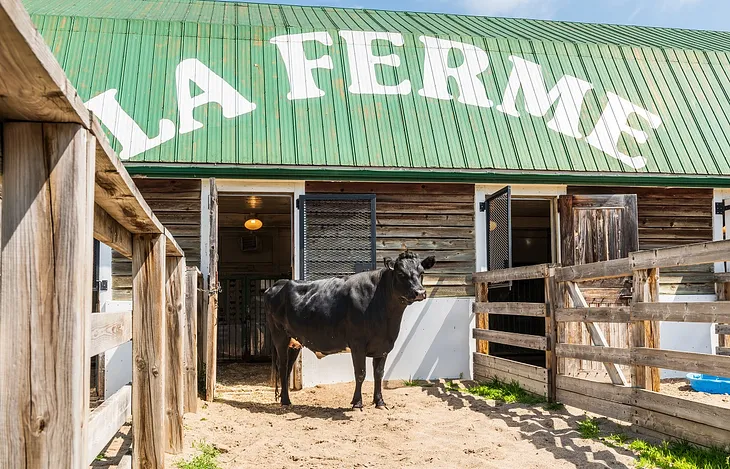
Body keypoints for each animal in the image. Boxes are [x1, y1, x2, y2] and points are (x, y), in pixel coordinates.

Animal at [264, 250, 432, 408]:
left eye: (421, 272)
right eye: (401, 274)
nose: (420, 292)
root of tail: (279, 284)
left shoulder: (383, 346)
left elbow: (378, 374)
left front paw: (380, 402)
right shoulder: (357, 344)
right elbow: (360, 373)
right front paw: (357, 403)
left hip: (294, 341)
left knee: (287, 368)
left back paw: (285, 399)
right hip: (279, 335)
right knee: (283, 366)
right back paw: (285, 401)